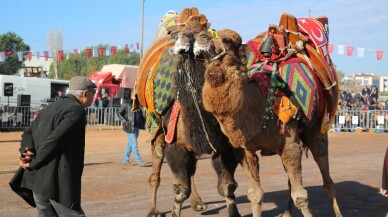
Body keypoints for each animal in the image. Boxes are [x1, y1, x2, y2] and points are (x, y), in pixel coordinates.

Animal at [194, 27, 342, 217]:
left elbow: (301, 196)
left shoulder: (290, 144)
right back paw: (287, 213)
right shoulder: (245, 151)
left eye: (227, 40)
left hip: (317, 131)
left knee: (327, 180)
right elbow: (255, 195)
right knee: (292, 182)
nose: (201, 36)